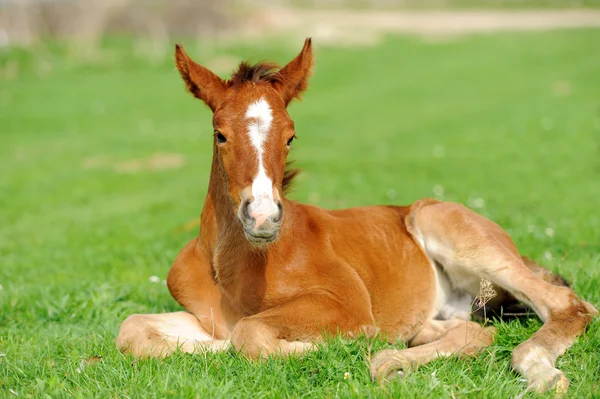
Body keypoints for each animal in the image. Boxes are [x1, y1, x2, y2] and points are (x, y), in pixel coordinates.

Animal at [116, 39, 596, 396]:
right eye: (220, 134)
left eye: (291, 136)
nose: (263, 219)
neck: (232, 268)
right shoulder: (199, 315)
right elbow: (132, 329)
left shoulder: (345, 303)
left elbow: (248, 335)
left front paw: (345, 346)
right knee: (473, 332)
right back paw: (401, 355)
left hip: (450, 230)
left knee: (568, 304)